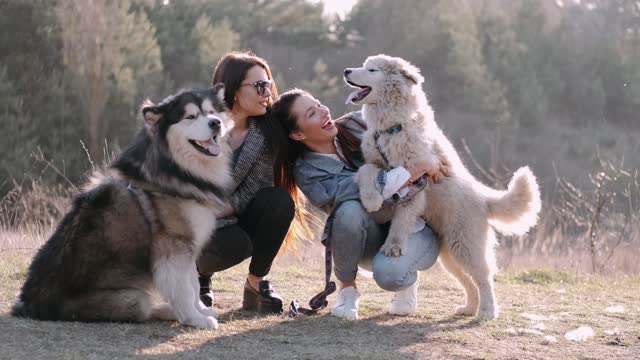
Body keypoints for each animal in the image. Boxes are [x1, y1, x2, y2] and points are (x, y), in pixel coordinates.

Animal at [344, 54, 540, 320]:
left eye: (371, 69)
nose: (346, 71)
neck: (393, 126)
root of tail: (483, 198)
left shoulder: (415, 183)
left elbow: (401, 220)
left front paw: (393, 246)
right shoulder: (374, 162)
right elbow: (367, 172)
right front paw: (371, 198)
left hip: (465, 247)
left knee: (484, 277)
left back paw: (487, 311)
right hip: (450, 255)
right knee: (468, 282)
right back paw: (468, 308)